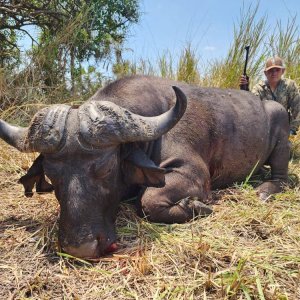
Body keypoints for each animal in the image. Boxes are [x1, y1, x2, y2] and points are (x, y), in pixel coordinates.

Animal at [0, 75, 290, 258]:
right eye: (52, 175)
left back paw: (264, 191)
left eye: (106, 168)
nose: (79, 248)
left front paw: (195, 206)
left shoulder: (191, 172)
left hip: (280, 125)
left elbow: (148, 201)